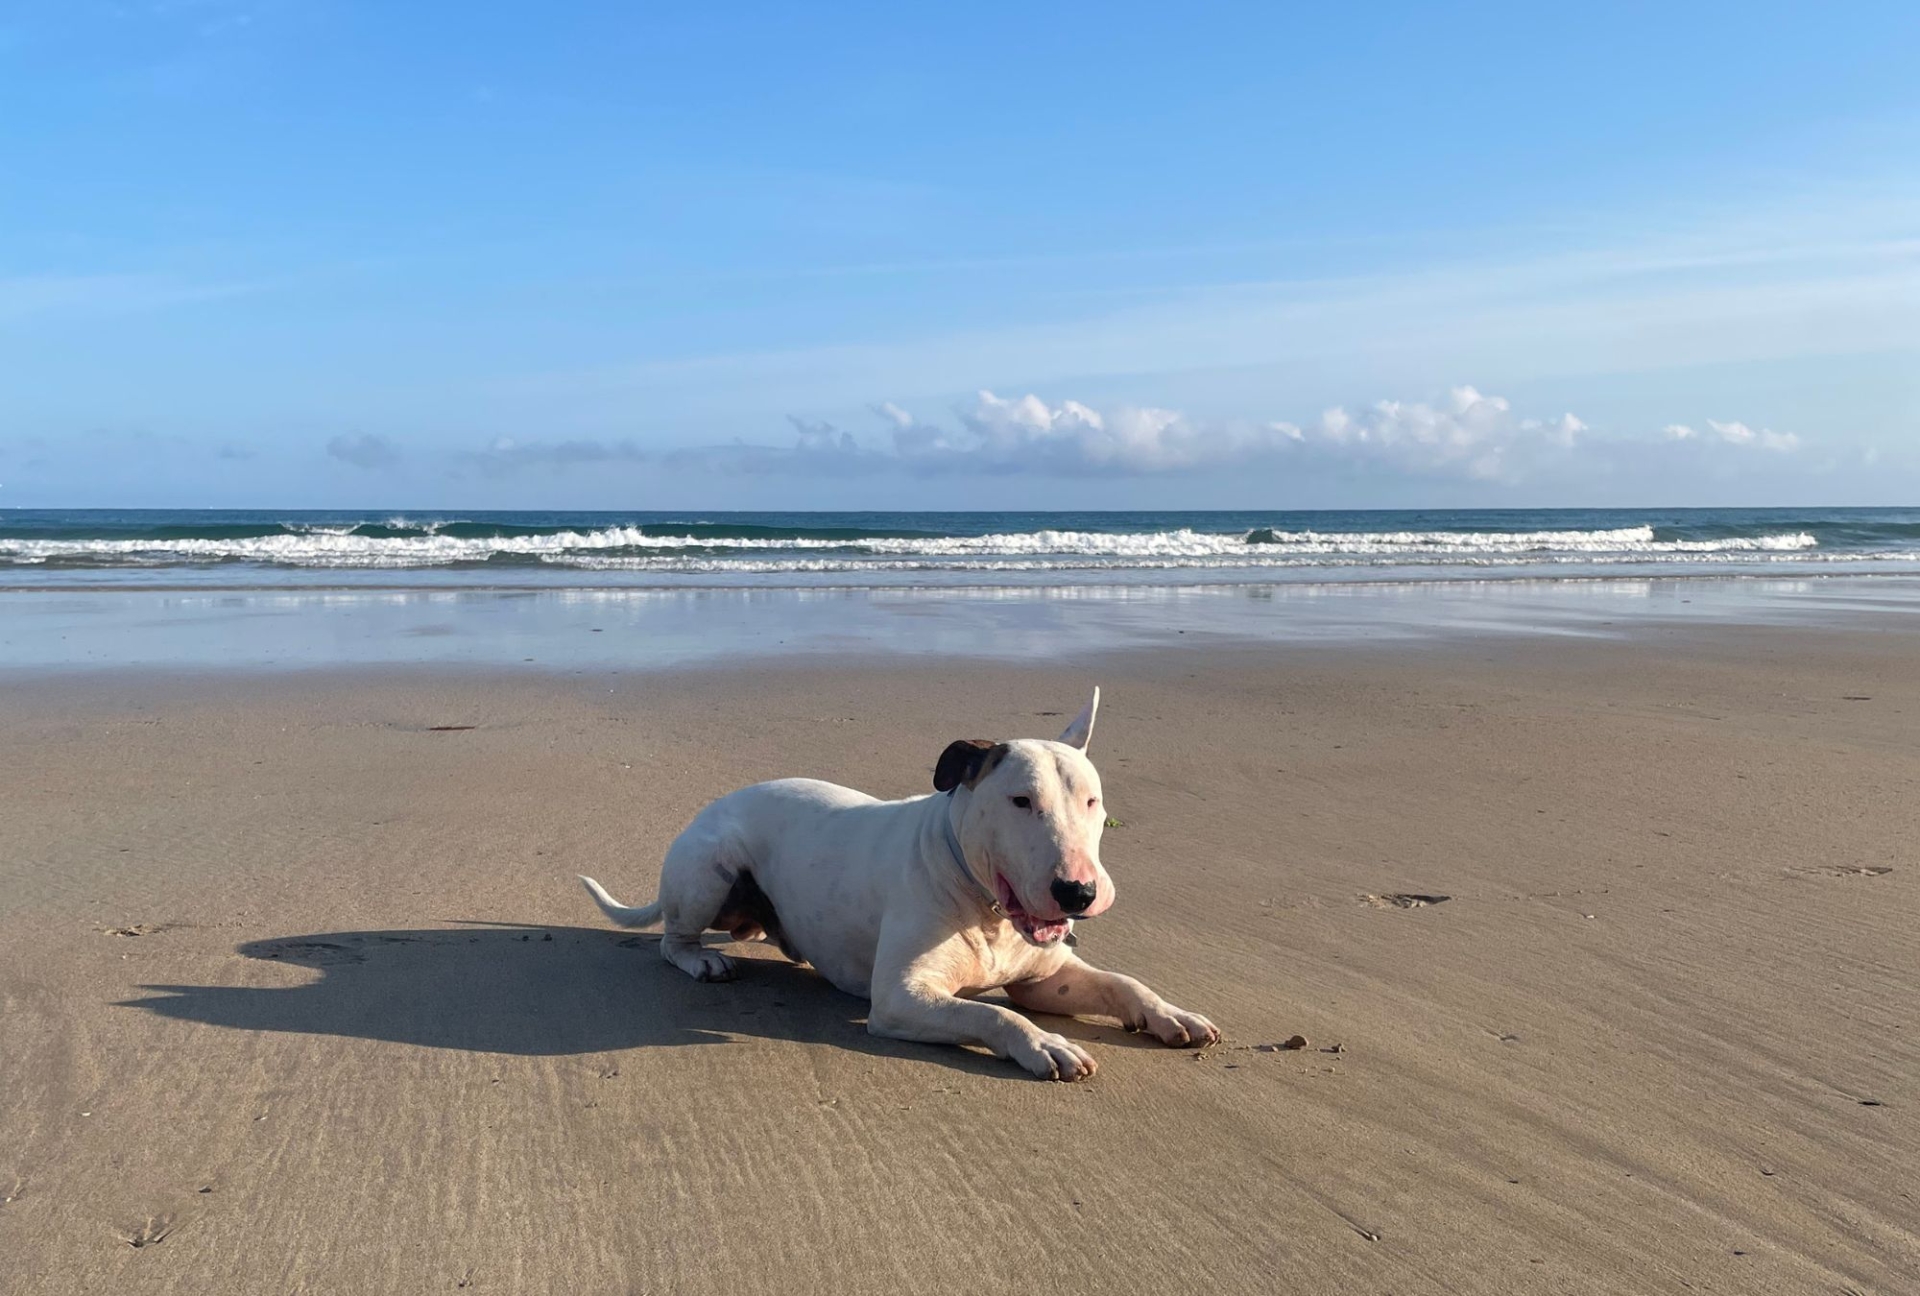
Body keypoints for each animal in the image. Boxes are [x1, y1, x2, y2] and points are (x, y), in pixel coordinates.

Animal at [576, 691, 1221, 1082]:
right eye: (1020, 801)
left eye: (1093, 803)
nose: (1079, 894)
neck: (984, 905)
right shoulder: (901, 997)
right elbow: (993, 1015)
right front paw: (1045, 1044)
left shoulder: (1044, 980)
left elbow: (1121, 983)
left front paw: (1171, 1014)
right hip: (709, 866)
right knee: (672, 941)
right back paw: (704, 959)